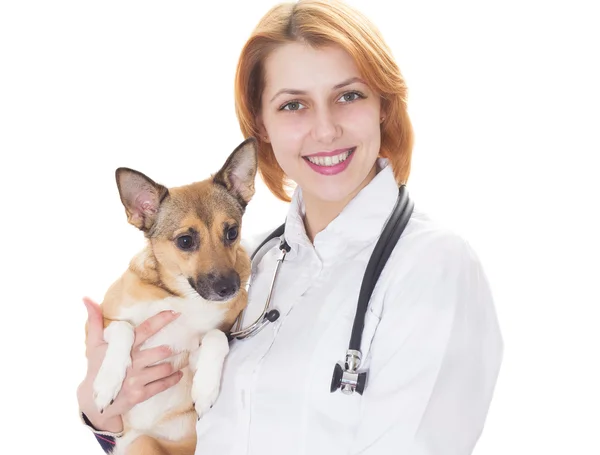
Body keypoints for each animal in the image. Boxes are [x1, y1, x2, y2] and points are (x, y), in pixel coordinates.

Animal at [86, 137, 258, 454]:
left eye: (232, 232)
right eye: (185, 241)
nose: (230, 288)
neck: (184, 296)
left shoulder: (195, 353)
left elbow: (216, 337)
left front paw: (205, 390)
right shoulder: (101, 322)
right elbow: (124, 329)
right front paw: (107, 383)